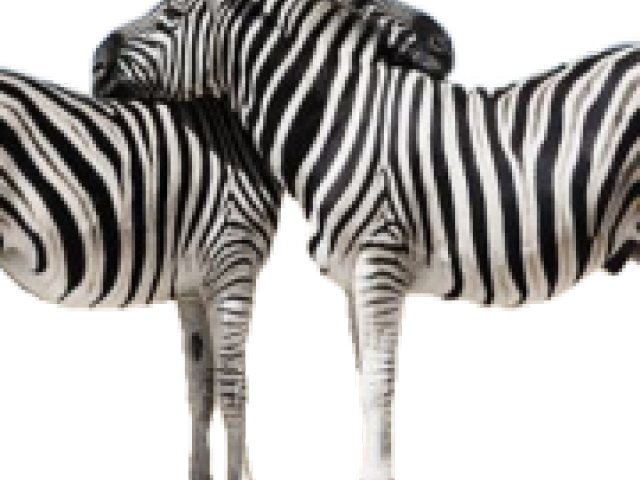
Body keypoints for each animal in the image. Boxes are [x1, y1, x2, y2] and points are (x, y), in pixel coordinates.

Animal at [93, 0, 639, 479]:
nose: (96, 62)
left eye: (172, 12)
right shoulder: (355, 278)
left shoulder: (380, 262)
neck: (337, 122)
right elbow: (363, 382)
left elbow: (379, 384)